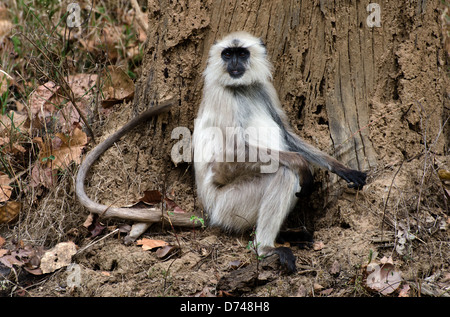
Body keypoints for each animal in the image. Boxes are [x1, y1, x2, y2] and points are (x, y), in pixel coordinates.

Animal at [192, 31, 366, 272]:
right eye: (227, 54)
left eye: (241, 54)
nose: (233, 63)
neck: (240, 88)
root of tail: (209, 210)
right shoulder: (221, 95)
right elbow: (228, 155)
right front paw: (302, 164)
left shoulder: (265, 88)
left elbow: (286, 133)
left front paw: (341, 168)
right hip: (227, 205)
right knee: (285, 173)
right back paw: (265, 248)